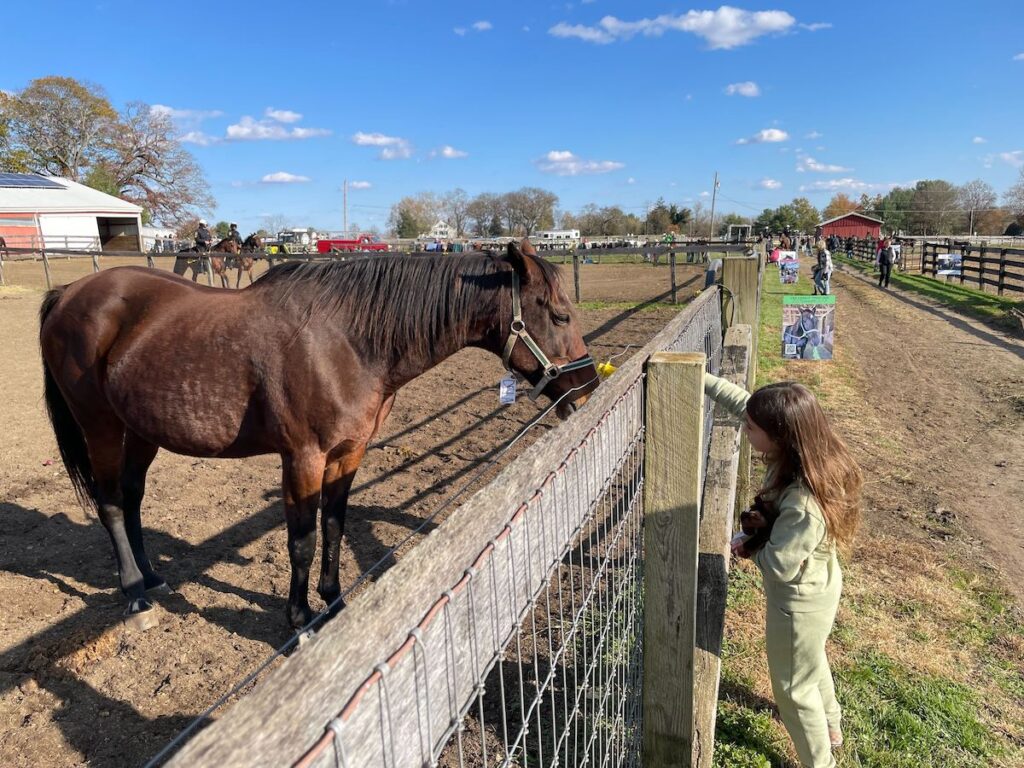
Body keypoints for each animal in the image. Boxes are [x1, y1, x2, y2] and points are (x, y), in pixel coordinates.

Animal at [39, 240, 598, 630]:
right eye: (559, 314)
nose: (589, 386)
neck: (348, 341)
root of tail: (69, 293)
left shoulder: (349, 453)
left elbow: (334, 526)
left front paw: (333, 600)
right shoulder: (302, 458)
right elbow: (302, 540)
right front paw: (301, 619)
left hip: (141, 430)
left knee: (132, 497)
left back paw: (153, 577)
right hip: (100, 426)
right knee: (111, 503)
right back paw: (135, 593)